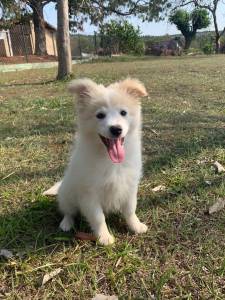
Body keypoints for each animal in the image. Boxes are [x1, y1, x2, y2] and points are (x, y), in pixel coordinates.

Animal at [45, 78, 149, 245]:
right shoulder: (89, 193)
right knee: (68, 211)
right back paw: (66, 224)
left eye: (123, 113)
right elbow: (98, 217)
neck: (109, 159)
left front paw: (136, 226)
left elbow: (130, 209)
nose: (116, 129)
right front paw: (104, 237)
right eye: (100, 115)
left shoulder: (130, 185)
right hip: (67, 195)